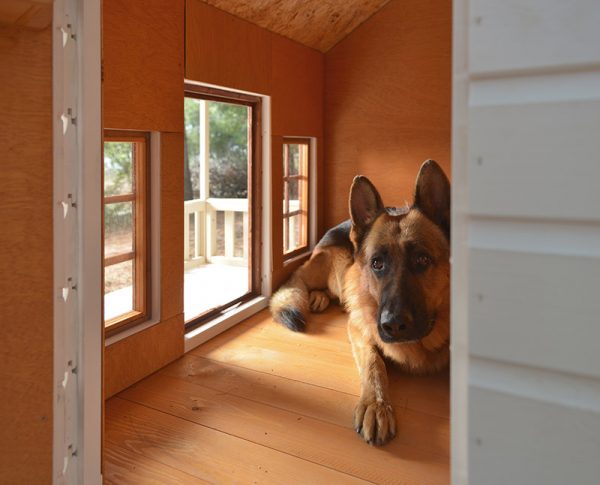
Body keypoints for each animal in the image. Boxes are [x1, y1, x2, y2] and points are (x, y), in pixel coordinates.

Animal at [270, 159, 448, 442]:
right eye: (377, 263)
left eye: (422, 259)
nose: (393, 325)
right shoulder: (360, 329)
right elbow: (374, 365)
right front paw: (376, 405)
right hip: (338, 267)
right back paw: (318, 296)